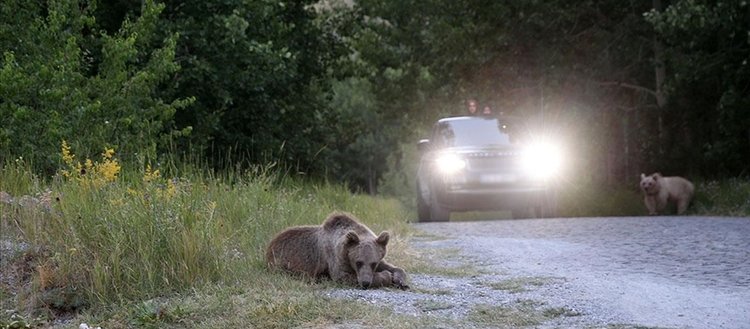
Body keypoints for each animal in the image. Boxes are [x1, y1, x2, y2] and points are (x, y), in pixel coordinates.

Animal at [268, 211, 412, 288]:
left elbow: (393, 266)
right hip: (283, 261)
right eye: (358, 262)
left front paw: (400, 280)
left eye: (373, 263)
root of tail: (271, 242)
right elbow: (343, 276)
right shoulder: (335, 259)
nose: (365, 282)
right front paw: (387, 276)